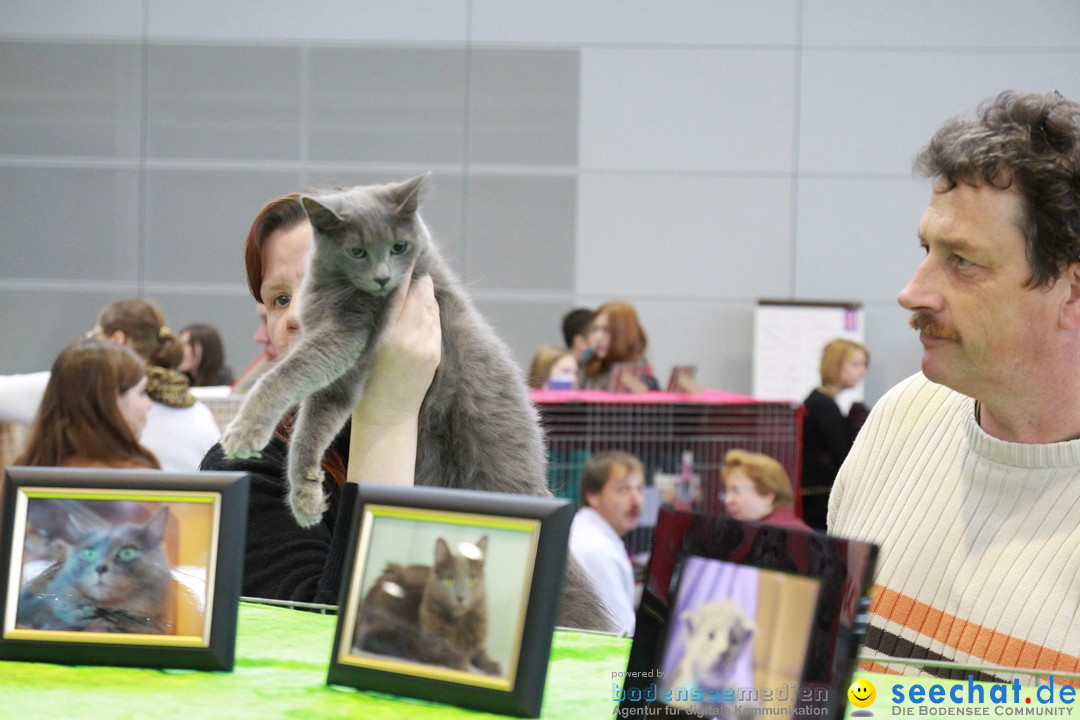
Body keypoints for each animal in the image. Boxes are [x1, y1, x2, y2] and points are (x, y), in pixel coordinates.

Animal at [221, 175, 609, 630]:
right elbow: (310, 426)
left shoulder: (346, 336)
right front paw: (305, 495)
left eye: (398, 246)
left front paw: (243, 432)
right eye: (357, 250)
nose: (383, 277)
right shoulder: (345, 374)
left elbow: (284, 378)